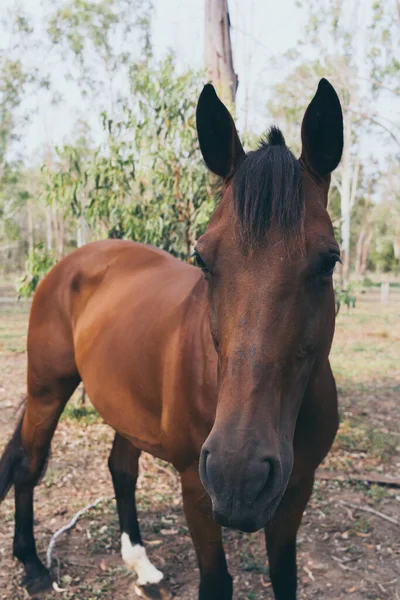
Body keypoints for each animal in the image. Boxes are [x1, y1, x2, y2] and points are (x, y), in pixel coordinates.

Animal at [0, 79, 344, 600]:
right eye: (202, 258)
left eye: (328, 261)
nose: (239, 473)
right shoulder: (197, 489)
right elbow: (215, 582)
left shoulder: (296, 489)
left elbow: (284, 578)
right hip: (47, 389)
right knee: (28, 465)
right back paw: (34, 567)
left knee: (121, 469)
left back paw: (141, 567)